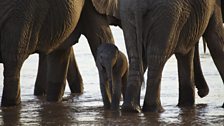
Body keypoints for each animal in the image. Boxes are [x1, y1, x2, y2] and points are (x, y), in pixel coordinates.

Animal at [91, 0, 224, 112]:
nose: (202, 92)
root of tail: (138, 4)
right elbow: (216, 41)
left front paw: (186, 105)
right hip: (168, 13)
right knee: (157, 59)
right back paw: (155, 109)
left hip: (130, 13)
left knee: (136, 57)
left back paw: (132, 109)